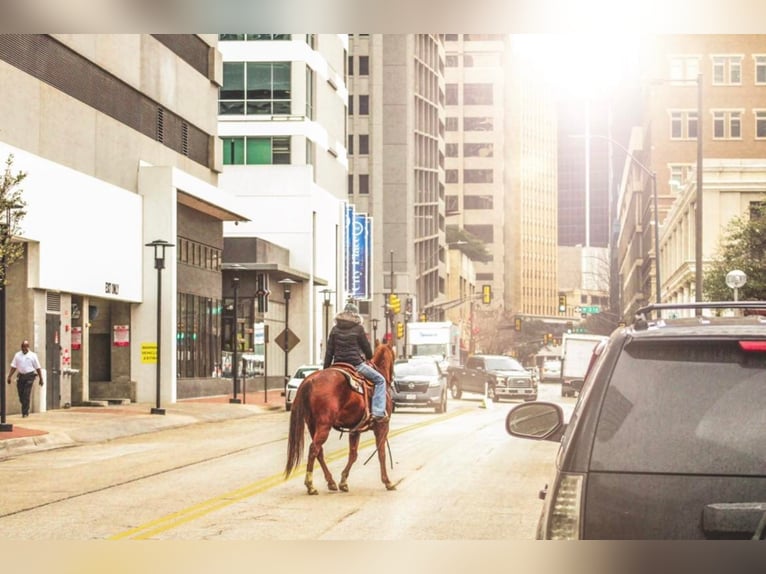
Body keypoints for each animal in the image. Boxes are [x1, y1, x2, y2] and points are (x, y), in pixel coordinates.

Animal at [286, 344, 400, 498]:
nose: (393, 379)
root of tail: (310, 380)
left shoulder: (355, 430)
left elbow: (353, 455)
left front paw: (343, 482)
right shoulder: (382, 427)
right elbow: (381, 454)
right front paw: (387, 482)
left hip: (312, 424)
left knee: (319, 451)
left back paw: (331, 482)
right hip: (324, 425)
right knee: (314, 448)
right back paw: (310, 485)